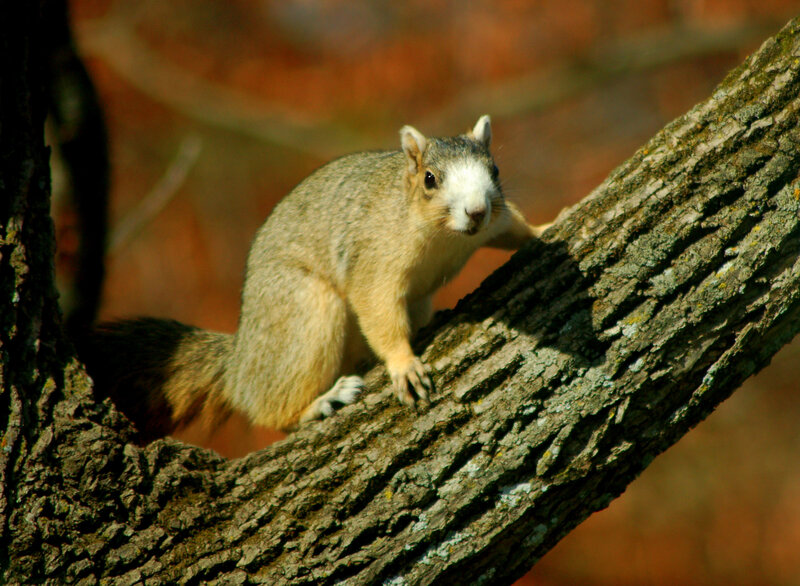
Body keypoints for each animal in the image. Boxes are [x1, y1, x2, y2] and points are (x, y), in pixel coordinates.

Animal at [79, 115, 549, 441]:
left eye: (495, 171)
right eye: (431, 180)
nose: (475, 211)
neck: (445, 238)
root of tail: (241, 363)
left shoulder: (495, 221)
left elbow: (514, 229)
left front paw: (545, 227)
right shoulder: (374, 259)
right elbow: (376, 307)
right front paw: (403, 364)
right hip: (305, 313)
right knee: (271, 410)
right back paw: (319, 402)